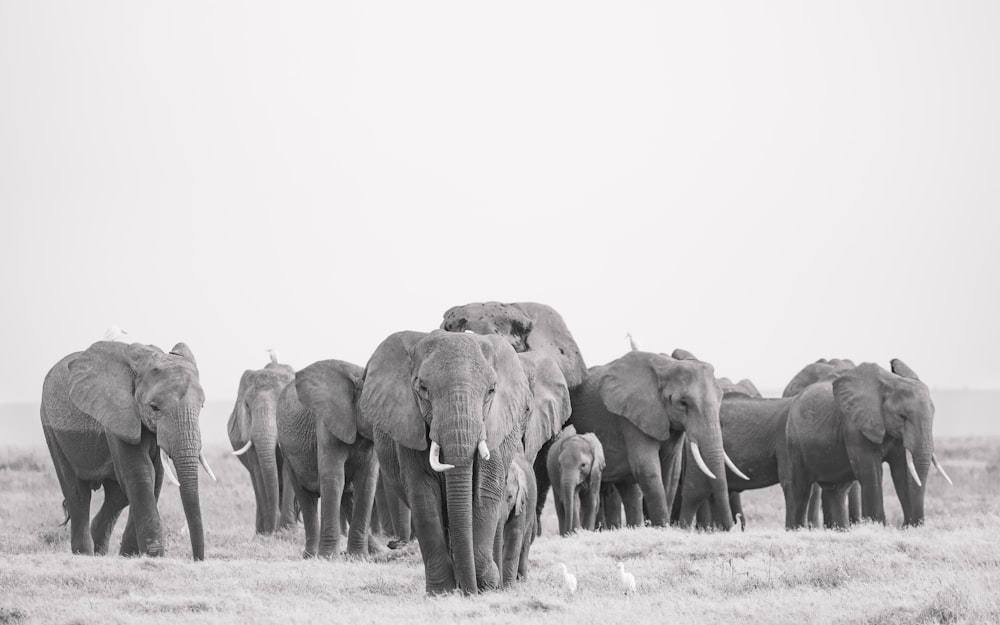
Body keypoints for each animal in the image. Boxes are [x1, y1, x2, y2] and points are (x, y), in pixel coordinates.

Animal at [41, 342, 213, 560]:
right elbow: (141, 473)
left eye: (202, 406)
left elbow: (155, 477)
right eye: (154, 408)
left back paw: (100, 552)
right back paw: (84, 554)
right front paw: (153, 556)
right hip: (51, 428)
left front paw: (130, 556)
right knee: (77, 494)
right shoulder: (118, 414)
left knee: (117, 497)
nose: (197, 559)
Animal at [276, 358, 380, 560]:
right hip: (287, 449)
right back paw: (310, 556)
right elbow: (334, 478)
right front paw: (329, 558)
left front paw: (358, 558)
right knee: (306, 497)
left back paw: (377, 552)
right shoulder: (326, 421)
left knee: (348, 495)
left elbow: (366, 483)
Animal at [358, 330, 532, 592]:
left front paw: (485, 584)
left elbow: (485, 493)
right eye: (422, 388)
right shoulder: (410, 430)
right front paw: (442, 592)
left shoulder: (494, 427)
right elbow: (423, 497)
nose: (470, 591)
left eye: (491, 390)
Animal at [496, 450, 536, 588]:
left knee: (525, 543)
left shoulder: (521, 502)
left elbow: (514, 533)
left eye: (510, 497)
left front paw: (508, 587)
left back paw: (522, 580)